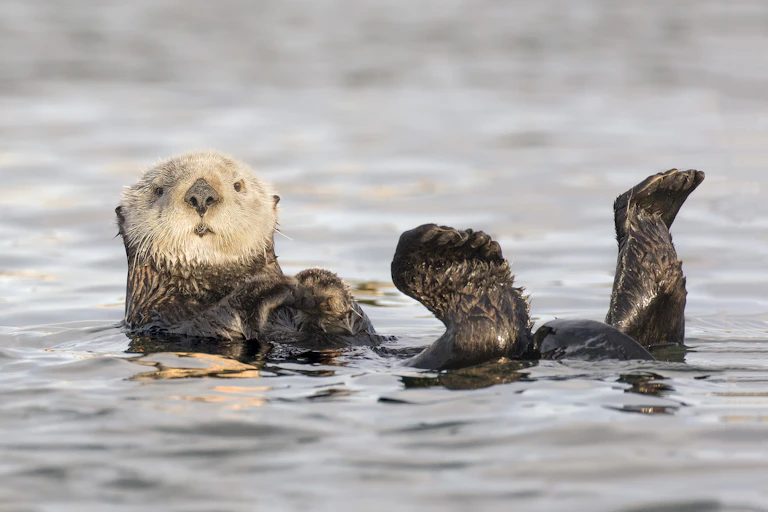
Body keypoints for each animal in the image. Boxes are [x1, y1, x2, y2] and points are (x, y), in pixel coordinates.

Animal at [117, 151, 703, 371]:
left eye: (237, 185)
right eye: (161, 188)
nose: (201, 194)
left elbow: (344, 316)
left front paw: (318, 288)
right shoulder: (167, 319)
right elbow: (220, 318)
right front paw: (283, 288)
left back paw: (657, 197)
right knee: (486, 326)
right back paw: (457, 257)